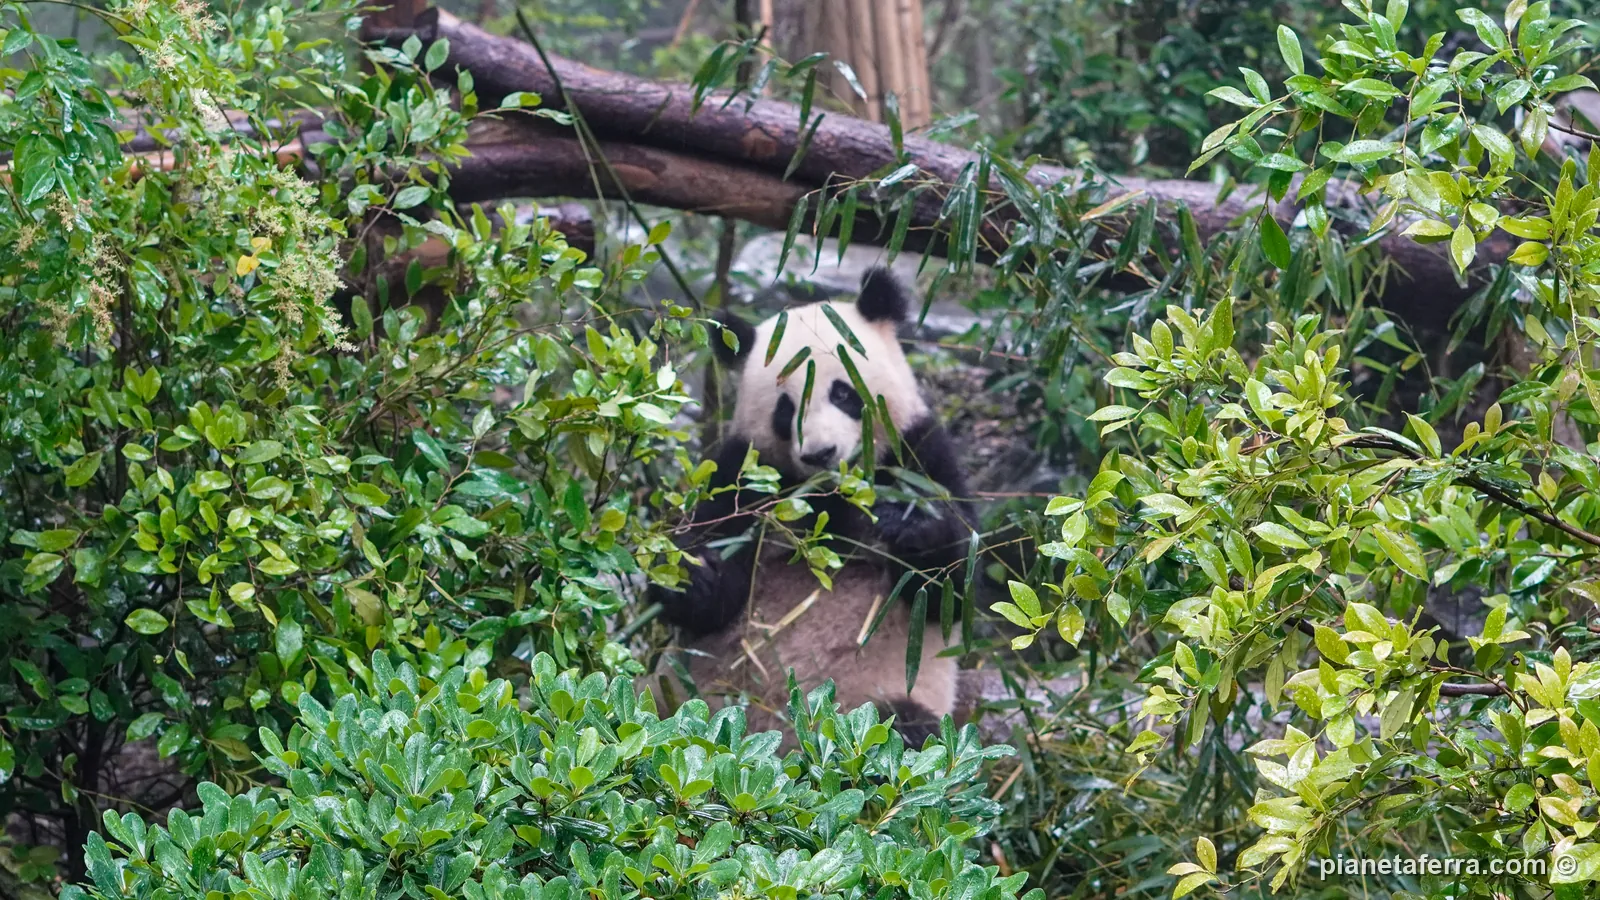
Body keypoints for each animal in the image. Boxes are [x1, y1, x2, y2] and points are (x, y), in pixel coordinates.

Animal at [647, 267, 976, 746]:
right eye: (786, 410)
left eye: (842, 393)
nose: (821, 454)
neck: (831, 495)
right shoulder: (743, 475)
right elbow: (714, 600)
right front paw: (694, 573)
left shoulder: (919, 452)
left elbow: (949, 594)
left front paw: (909, 526)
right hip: (677, 701)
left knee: (905, 731)